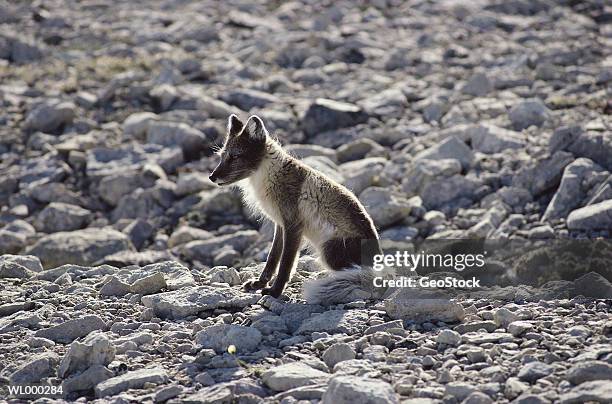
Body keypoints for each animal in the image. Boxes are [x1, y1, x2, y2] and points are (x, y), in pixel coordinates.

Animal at [209, 113, 382, 304]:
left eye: (235, 156)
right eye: (222, 156)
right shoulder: (280, 224)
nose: (211, 177)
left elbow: (285, 264)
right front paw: (260, 284)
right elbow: (272, 258)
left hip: (329, 251)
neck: (268, 175)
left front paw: (274, 292)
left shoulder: (293, 226)